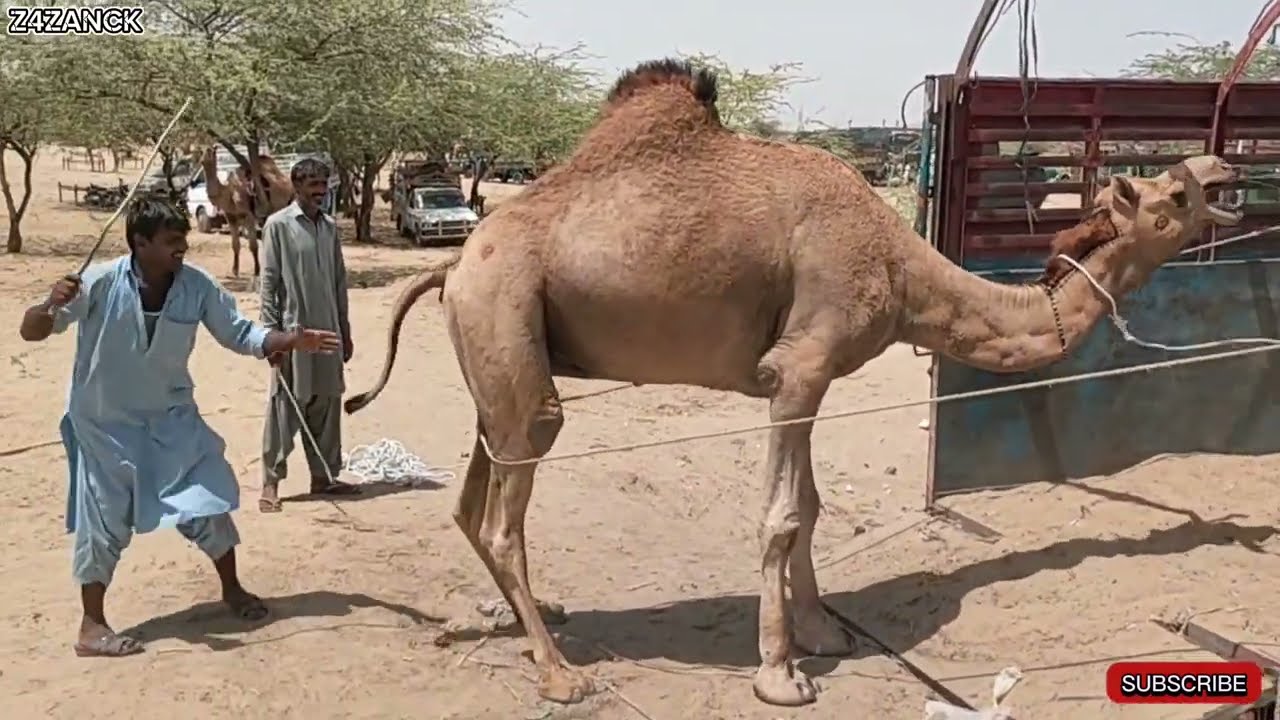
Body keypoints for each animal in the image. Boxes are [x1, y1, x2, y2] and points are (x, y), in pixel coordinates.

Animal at [198, 147, 293, 279]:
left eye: (212, 151)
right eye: (201, 152)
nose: (203, 159)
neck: (229, 193)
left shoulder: (249, 216)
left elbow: (253, 245)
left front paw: (257, 270)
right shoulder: (231, 217)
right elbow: (235, 245)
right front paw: (235, 271)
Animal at [344, 59, 1242, 708]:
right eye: (1173, 192)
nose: (1222, 167)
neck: (900, 266)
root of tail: (455, 261)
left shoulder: (814, 377)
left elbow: (809, 507)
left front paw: (823, 635)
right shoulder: (799, 366)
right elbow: (781, 517)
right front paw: (780, 675)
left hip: (494, 361)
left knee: (474, 493)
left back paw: (524, 620)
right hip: (508, 325)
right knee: (510, 497)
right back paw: (561, 674)